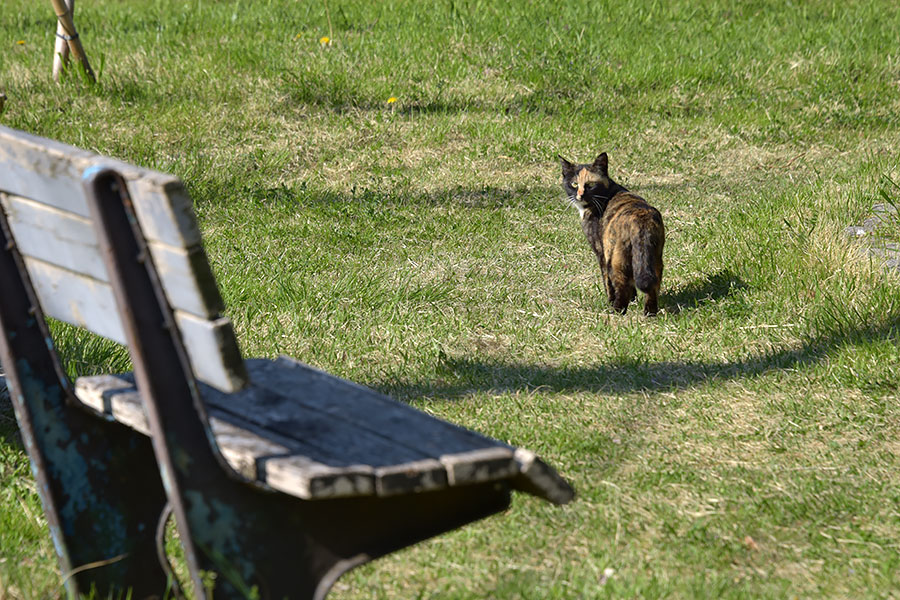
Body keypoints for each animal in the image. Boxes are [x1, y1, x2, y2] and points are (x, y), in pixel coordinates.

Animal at [560, 152, 664, 316]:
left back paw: (616, 310)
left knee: (621, 284)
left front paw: (610, 301)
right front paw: (634, 300)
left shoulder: (601, 252)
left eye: (590, 185)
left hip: (615, 259)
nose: (580, 195)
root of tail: (640, 221)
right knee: (653, 284)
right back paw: (650, 313)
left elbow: (607, 282)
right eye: (574, 184)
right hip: (654, 258)